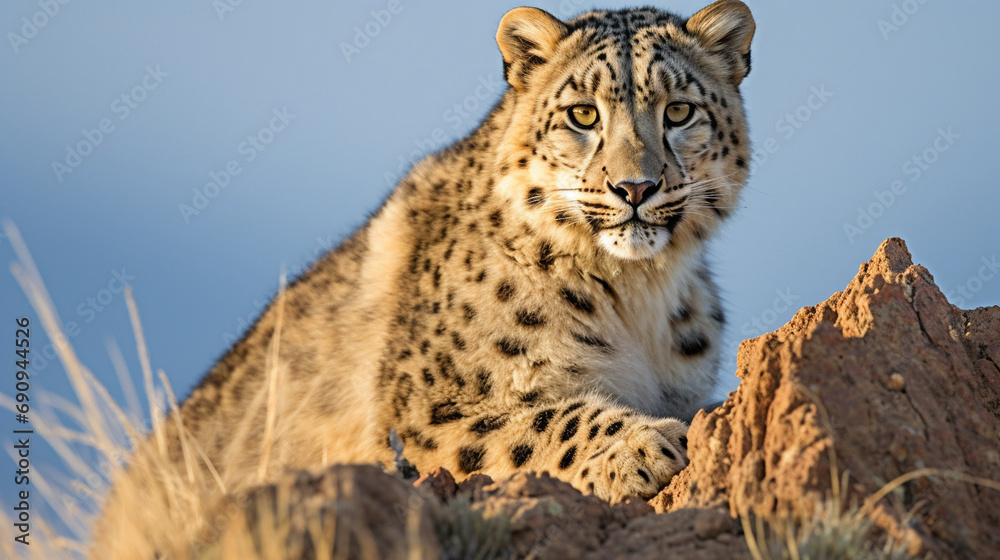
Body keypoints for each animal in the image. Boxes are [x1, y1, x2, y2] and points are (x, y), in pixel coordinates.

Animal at [93, 1, 755, 555]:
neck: (639, 296)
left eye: (679, 110)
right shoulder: (425, 414)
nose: (635, 188)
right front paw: (643, 444)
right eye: (583, 114)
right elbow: (542, 419)